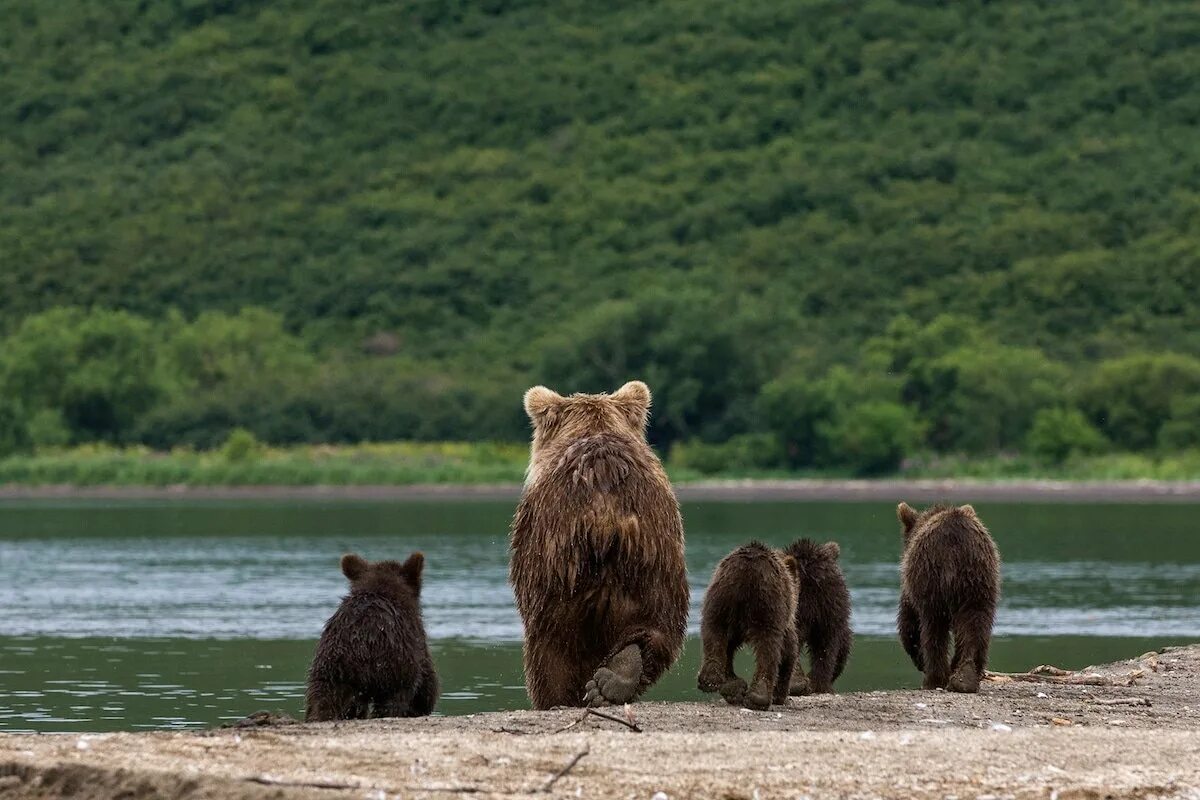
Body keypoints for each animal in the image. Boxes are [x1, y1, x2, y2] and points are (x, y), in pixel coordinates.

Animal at [307, 554, 439, 724]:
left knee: (323, 701)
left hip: (331, 672)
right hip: (392, 669)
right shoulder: (415, 641)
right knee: (392, 702)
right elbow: (426, 680)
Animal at [508, 381, 696, 705]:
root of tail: (605, 517)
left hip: (553, 569)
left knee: (551, 649)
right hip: (655, 560)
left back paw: (561, 696)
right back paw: (619, 676)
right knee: (658, 625)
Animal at [700, 542, 801, 710]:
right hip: (767, 603)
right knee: (769, 647)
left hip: (719, 598)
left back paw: (711, 680)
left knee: (714, 634)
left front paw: (732, 688)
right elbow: (789, 651)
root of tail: (747, 569)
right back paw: (759, 697)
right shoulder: (786, 619)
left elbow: (729, 647)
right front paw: (781, 696)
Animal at [897, 501, 998, 695]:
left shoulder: (910, 586)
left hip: (931, 578)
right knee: (976, 622)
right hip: (978, 579)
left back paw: (934, 679)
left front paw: (918, 658)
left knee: (933, 628)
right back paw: (965, 677)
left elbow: (909, 621)